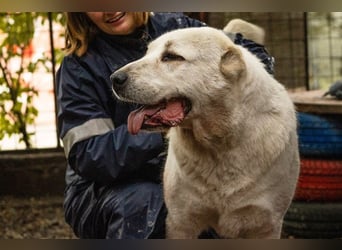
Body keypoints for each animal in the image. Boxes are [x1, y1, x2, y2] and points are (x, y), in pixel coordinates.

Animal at [110, 24, 300, 238]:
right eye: (147, 53)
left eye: (171, 56)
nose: (115, 79)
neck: (219, 144)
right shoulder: (181, 222)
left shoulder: (267, 224)